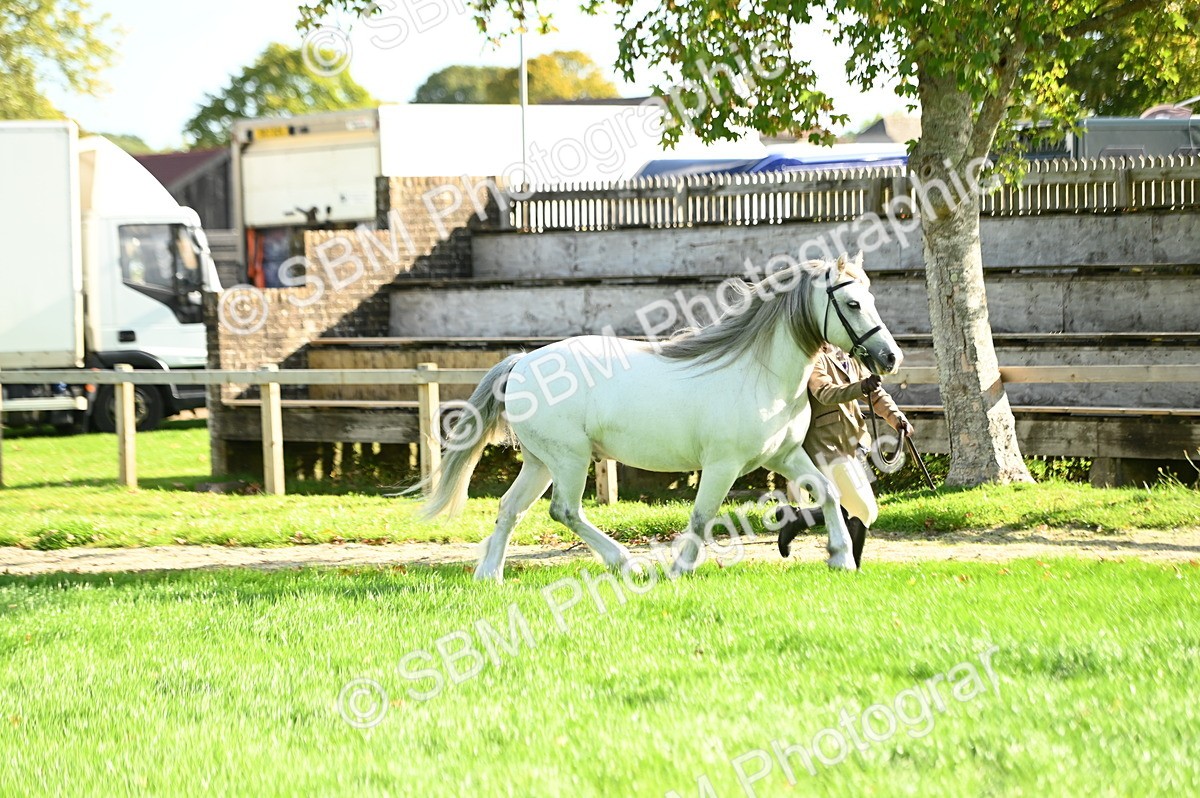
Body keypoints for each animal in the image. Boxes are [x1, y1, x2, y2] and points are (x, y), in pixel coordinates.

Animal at [420, 253, 903, 581]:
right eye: (854, 304)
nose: (891, 357)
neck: (760, 374)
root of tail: (522, 363)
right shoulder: (723, 465)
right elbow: (703, 515)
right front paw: (680, 568)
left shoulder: (782, 455)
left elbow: (827, 492)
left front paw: (841, 557)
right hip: (569, 460)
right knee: (565, 511)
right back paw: (625, 562)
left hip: (541, 462)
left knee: (510, 509)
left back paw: (490, 575)